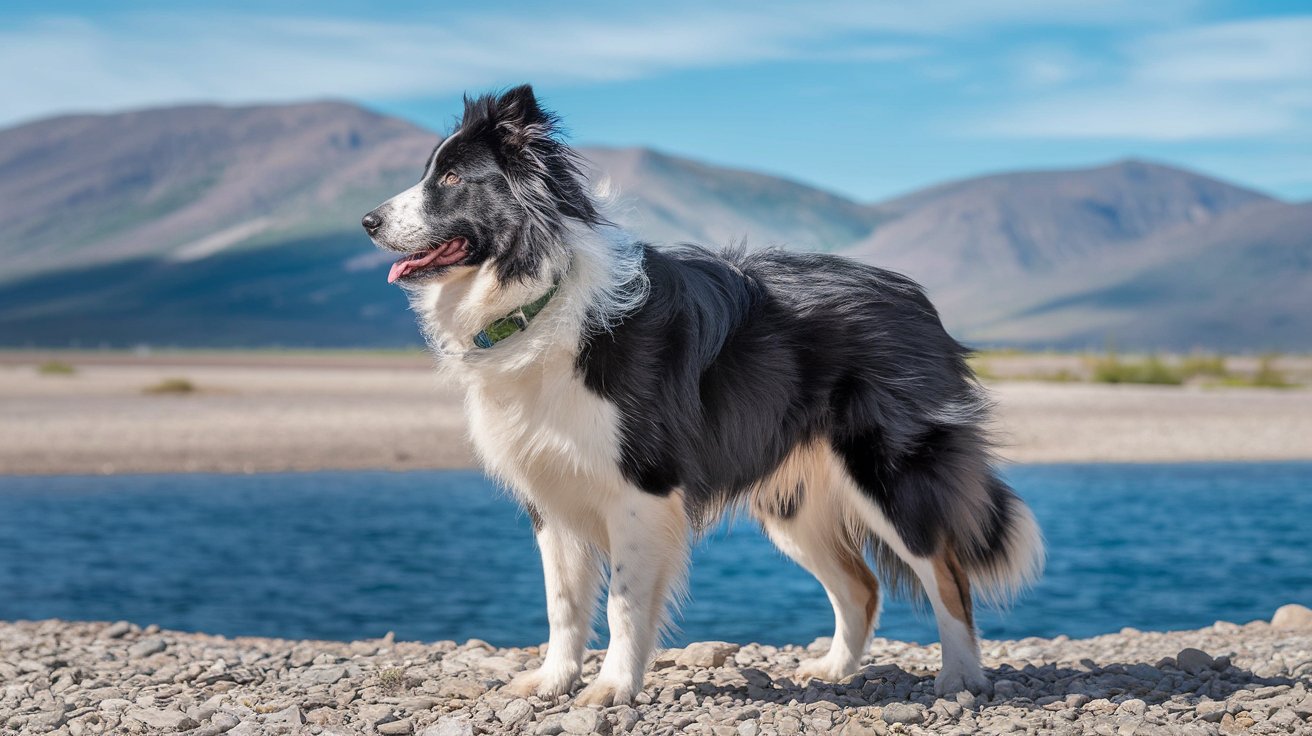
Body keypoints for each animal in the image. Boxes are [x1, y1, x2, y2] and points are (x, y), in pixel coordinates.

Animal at [364, 85, 1039, 708]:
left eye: (452, 177)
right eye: (430, 171)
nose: (368, 221)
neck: (540, 296)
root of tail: (913, 295)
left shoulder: (641, 488)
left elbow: (624, 602)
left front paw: (612, 689)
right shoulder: (552, 491)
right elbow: (563, 603)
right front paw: (552, 682)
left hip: (888, 474)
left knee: (947, 575)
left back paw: (961, 679)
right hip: (791, 503)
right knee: (861, 586)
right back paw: (832, 670)